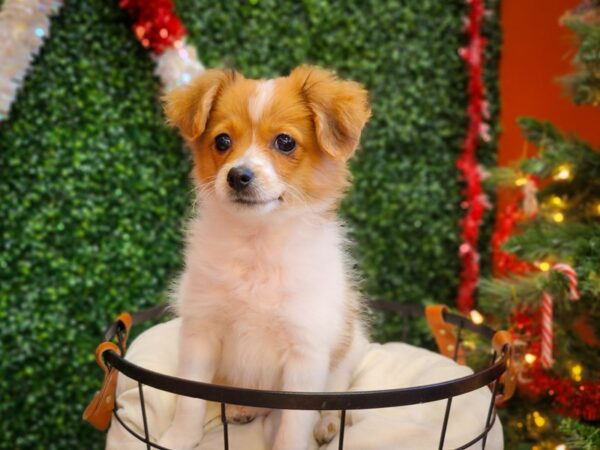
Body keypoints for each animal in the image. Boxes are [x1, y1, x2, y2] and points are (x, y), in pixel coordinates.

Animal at [158, 64, 376, 450]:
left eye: (285, 142)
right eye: (222, 141)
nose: (238, 176)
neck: (257, 244)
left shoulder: (305, 351)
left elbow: (293, 424)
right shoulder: (201, 330)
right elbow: (189, 400)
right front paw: (179, 438)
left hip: (348, 353)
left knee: (336, 396)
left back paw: (328, 425)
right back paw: (242, 407)